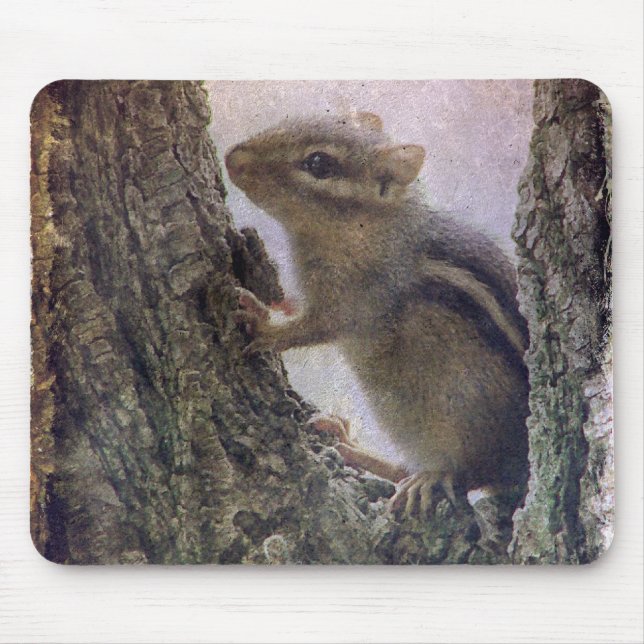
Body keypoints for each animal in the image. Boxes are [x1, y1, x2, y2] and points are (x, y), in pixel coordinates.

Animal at [225, 111, 529, 514]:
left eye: (318, 164)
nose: (232, 158)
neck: (367, 227)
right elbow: (299, 308)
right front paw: (276, 301)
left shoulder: (355, 299)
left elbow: (312, 328)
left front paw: (263, 323)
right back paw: (349, 444)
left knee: (469, 474)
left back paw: (427, 476)